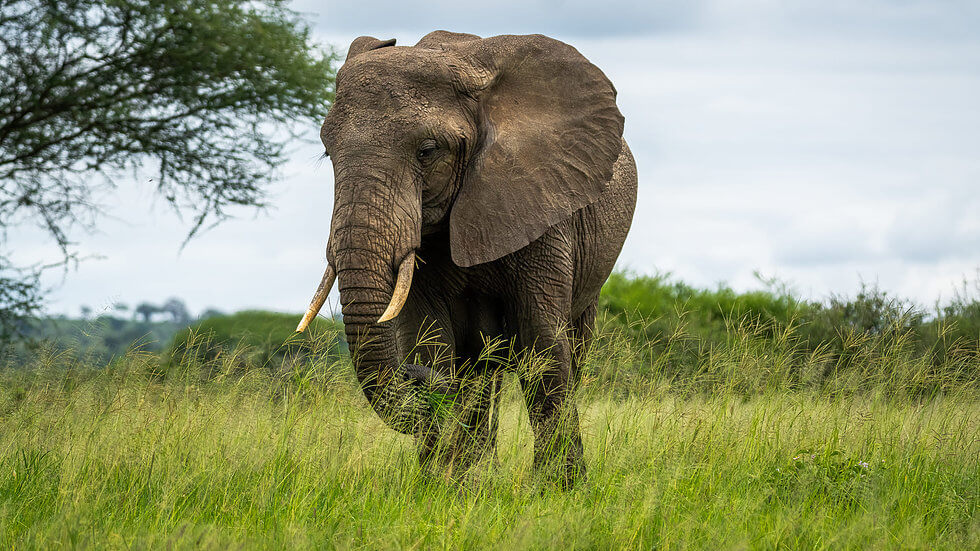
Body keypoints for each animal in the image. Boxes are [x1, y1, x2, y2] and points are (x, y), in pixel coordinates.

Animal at [294, 30, 640, 488]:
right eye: (328, 153)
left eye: (427, 151)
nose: (414, 379)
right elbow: (430, 340)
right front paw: (438, 484)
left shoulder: (542, 205)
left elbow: (542, 345)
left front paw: (559, 489)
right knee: (480, 367)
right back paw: (477, 472)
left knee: (566, 350)